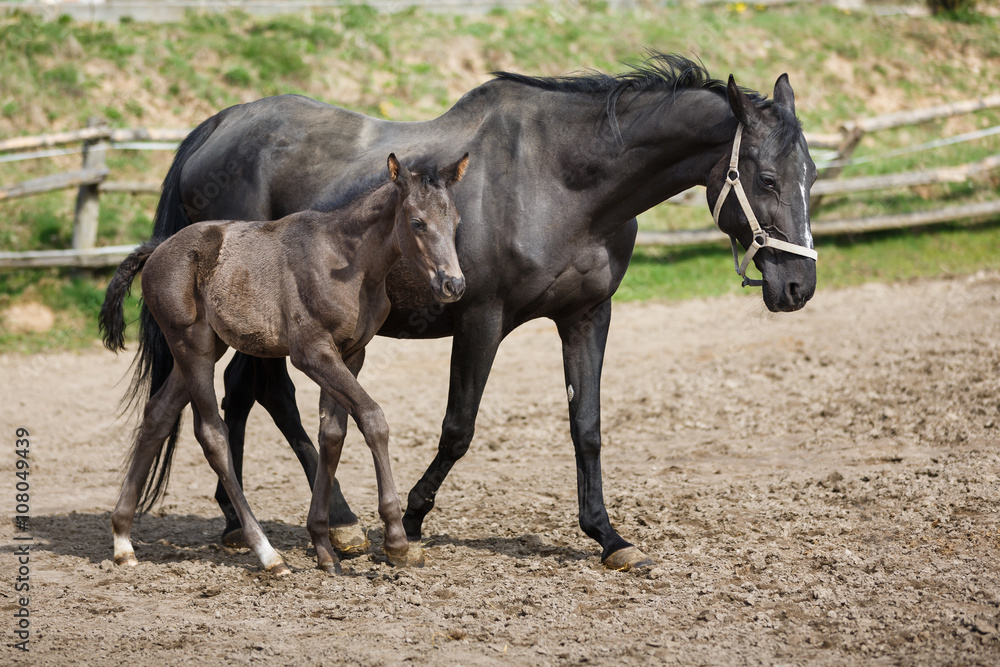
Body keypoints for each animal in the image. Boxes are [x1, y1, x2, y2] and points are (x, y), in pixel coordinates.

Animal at [133, 54, 816, 572]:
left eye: (809, 173)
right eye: (765, 178)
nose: (798, 286)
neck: (559, 180)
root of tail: (214, 130)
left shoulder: (588, 316)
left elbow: (587, 427)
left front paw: (608, 536)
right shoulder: (481, 319)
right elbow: (458, 428)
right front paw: (409, 519)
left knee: (245, 392)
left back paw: (237, 519)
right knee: (265, 393)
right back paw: (341, 524)